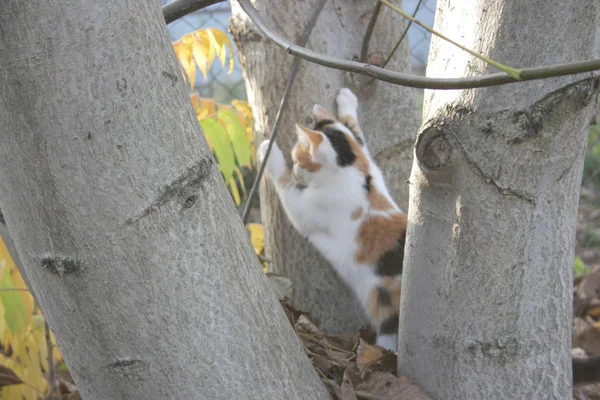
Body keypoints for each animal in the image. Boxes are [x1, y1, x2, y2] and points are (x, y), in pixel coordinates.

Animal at [255, 88, 406, 350]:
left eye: (297, 160)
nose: (296, 170)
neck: (353, 173)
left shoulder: (308, 208)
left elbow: (284, 184)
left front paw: (269, 151)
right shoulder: (367, 161)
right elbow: (354, 133)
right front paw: (346, 101)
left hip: (387, 316)